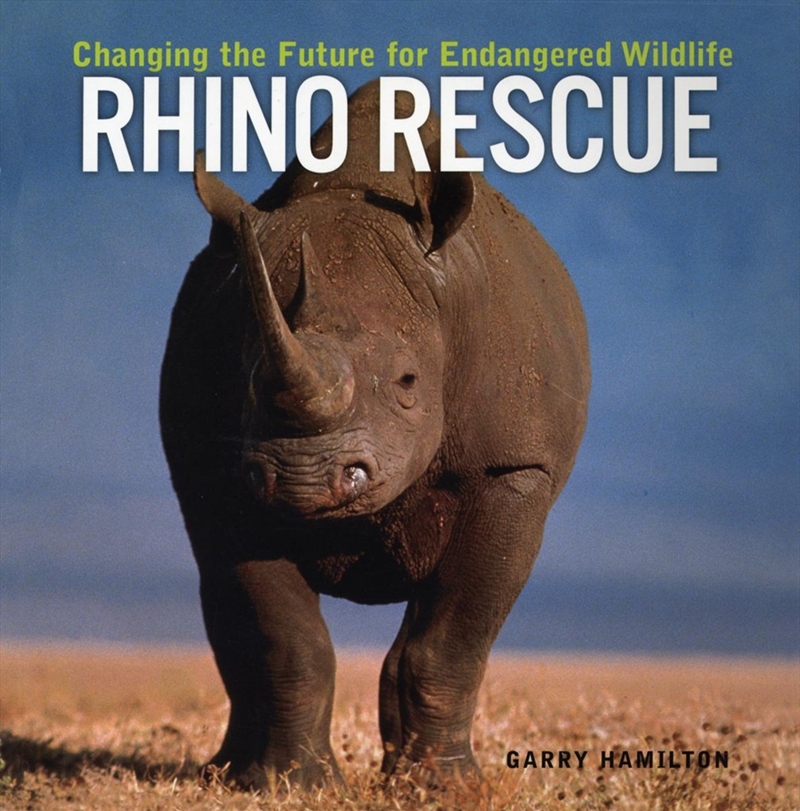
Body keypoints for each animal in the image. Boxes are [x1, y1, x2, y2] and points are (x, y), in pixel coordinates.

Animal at [160, 80, 589, 789]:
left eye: (410, 381)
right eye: (245, 382)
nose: (304, 478)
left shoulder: (512, 467)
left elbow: (453, 638)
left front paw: (442, 788)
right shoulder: (224, 476)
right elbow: (285, 637)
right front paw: (292, 786)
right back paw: (222, 773)